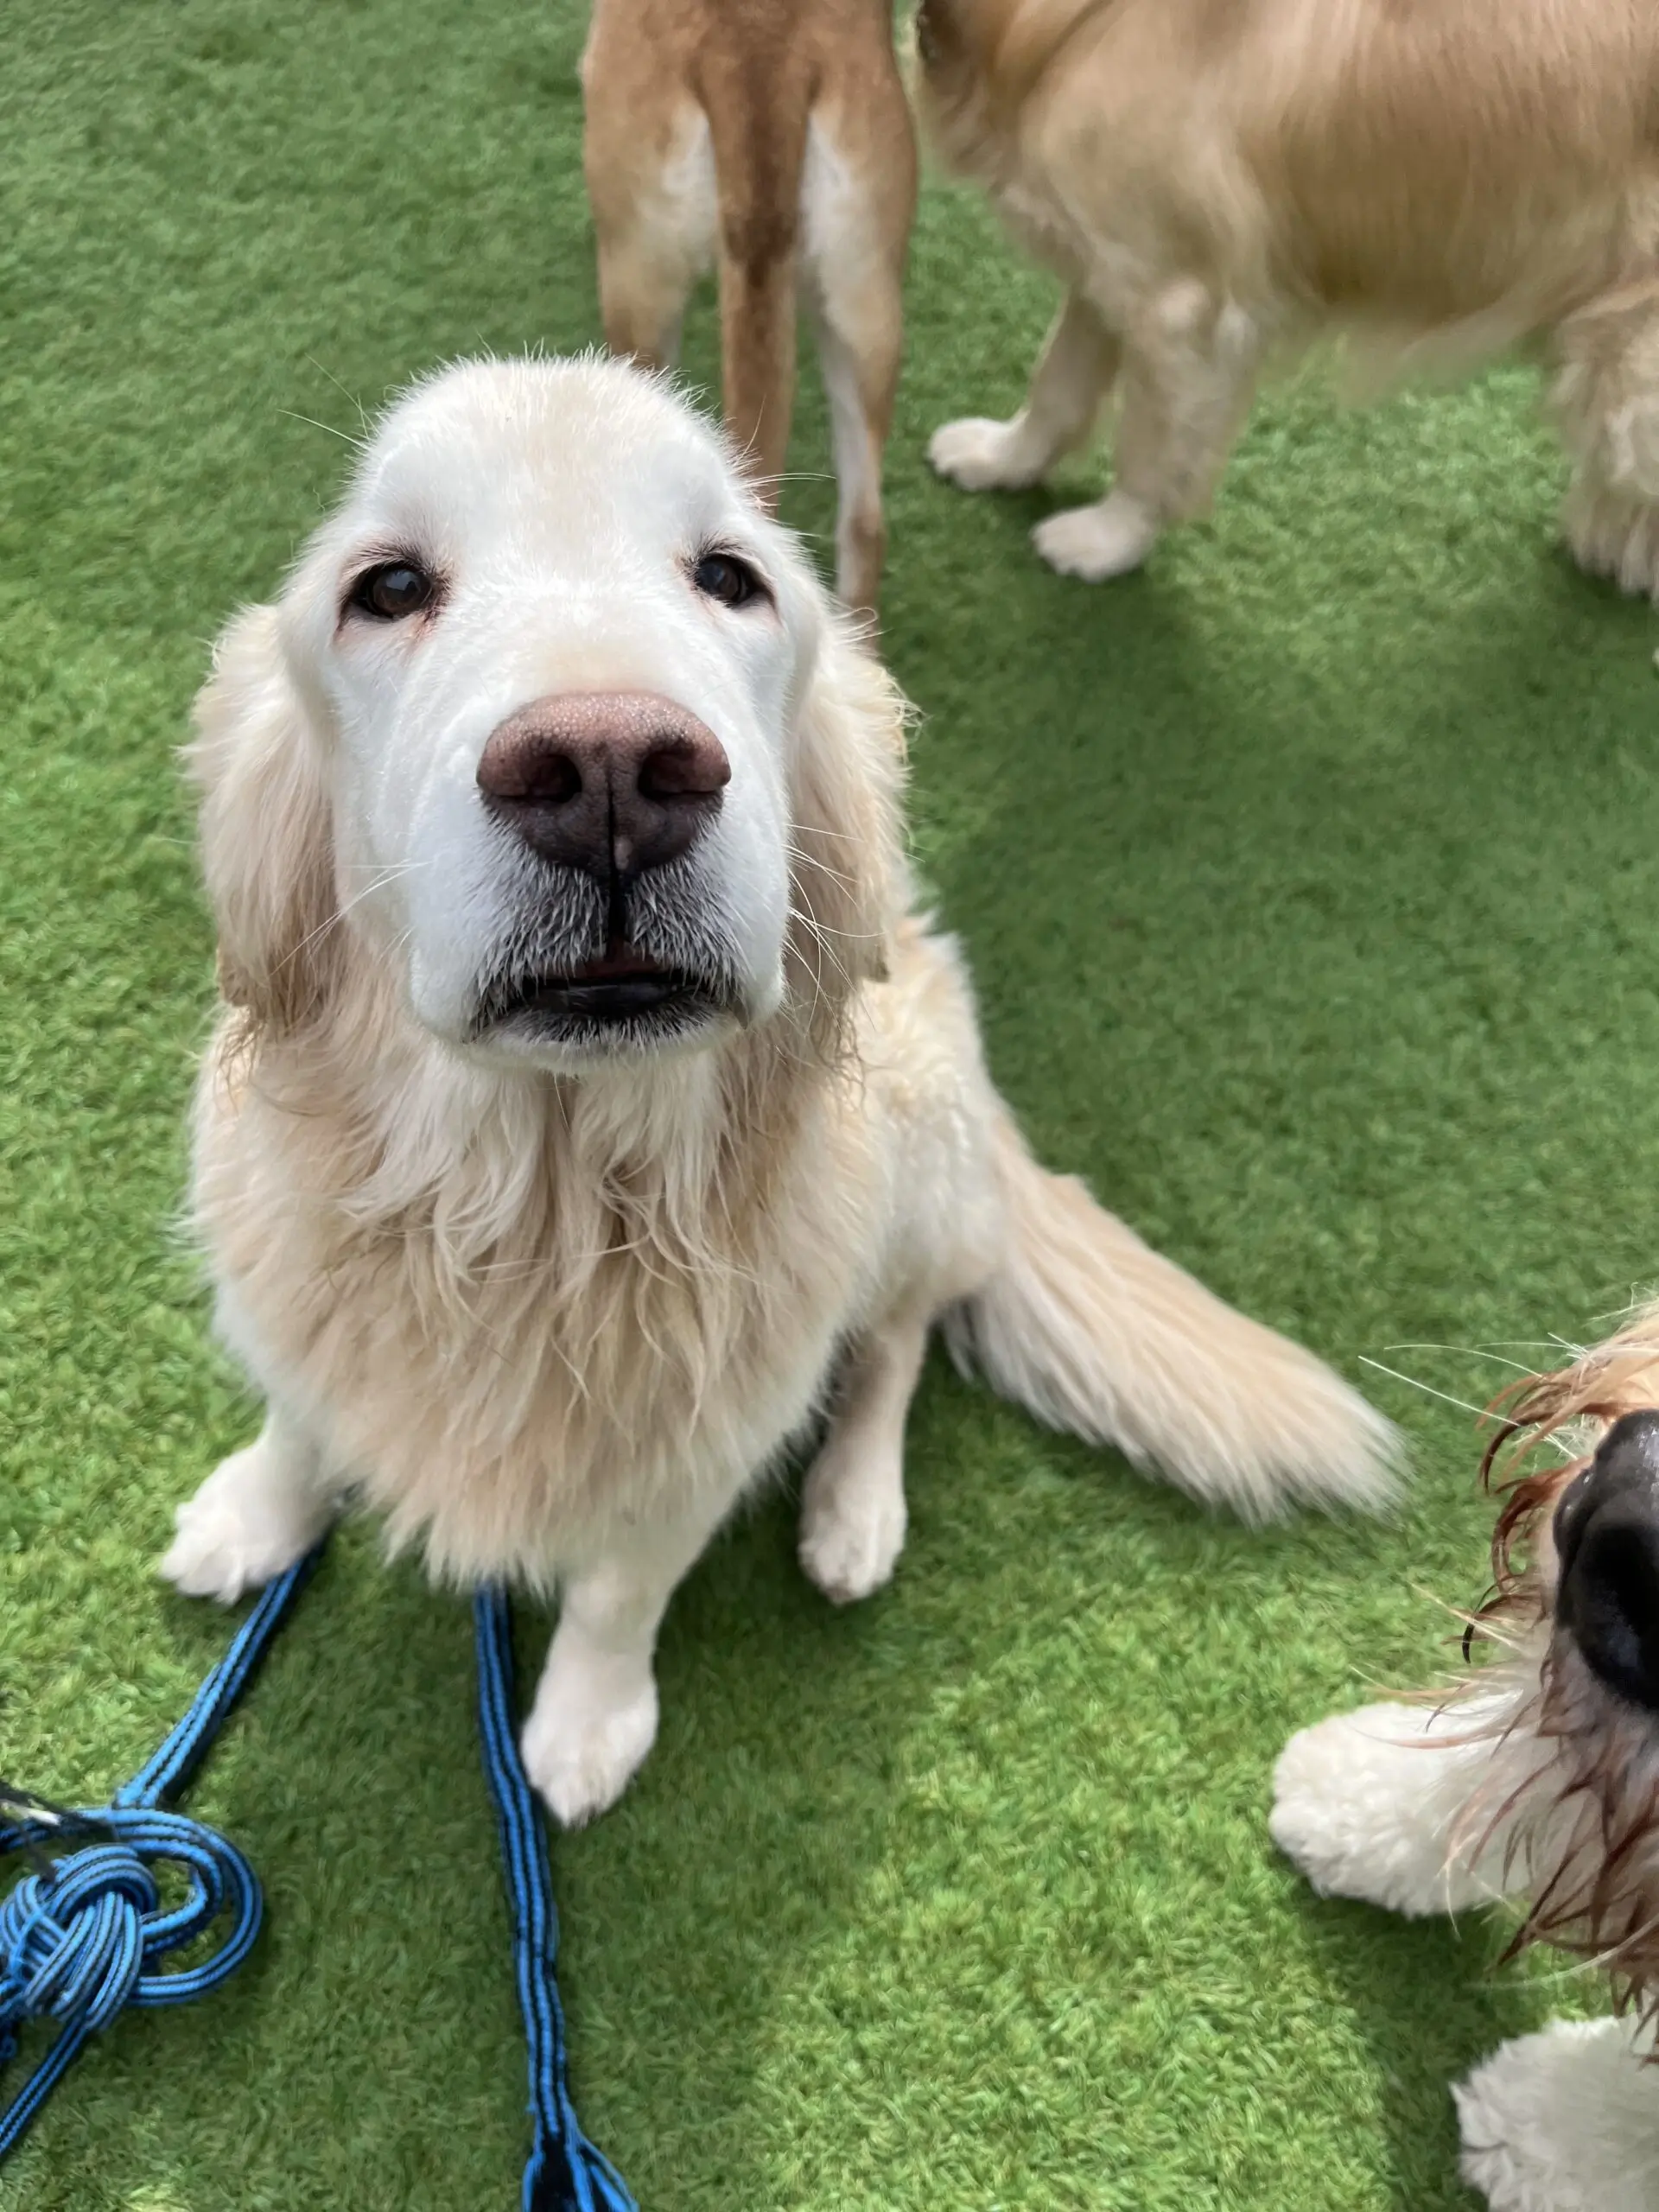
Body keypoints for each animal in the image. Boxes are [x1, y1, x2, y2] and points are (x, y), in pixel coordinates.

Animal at [162, 353, 1397, 1822]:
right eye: (388, 587)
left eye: (729, 577)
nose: (611, 771)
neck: (539, 1217)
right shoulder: (300, 1309)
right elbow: (300, 1421)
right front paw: (252, 1519)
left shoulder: (707, 1439)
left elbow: (620, 1590)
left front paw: (586, 1728)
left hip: (912, 1175)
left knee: (900, 1339)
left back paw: (856, 1514)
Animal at [925, 0, 1659, 593]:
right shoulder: (1102, 264)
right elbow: (1057, 385)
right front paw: (1002, 460)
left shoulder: (1181, 303)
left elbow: (1150, 447)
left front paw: (1107, 541)